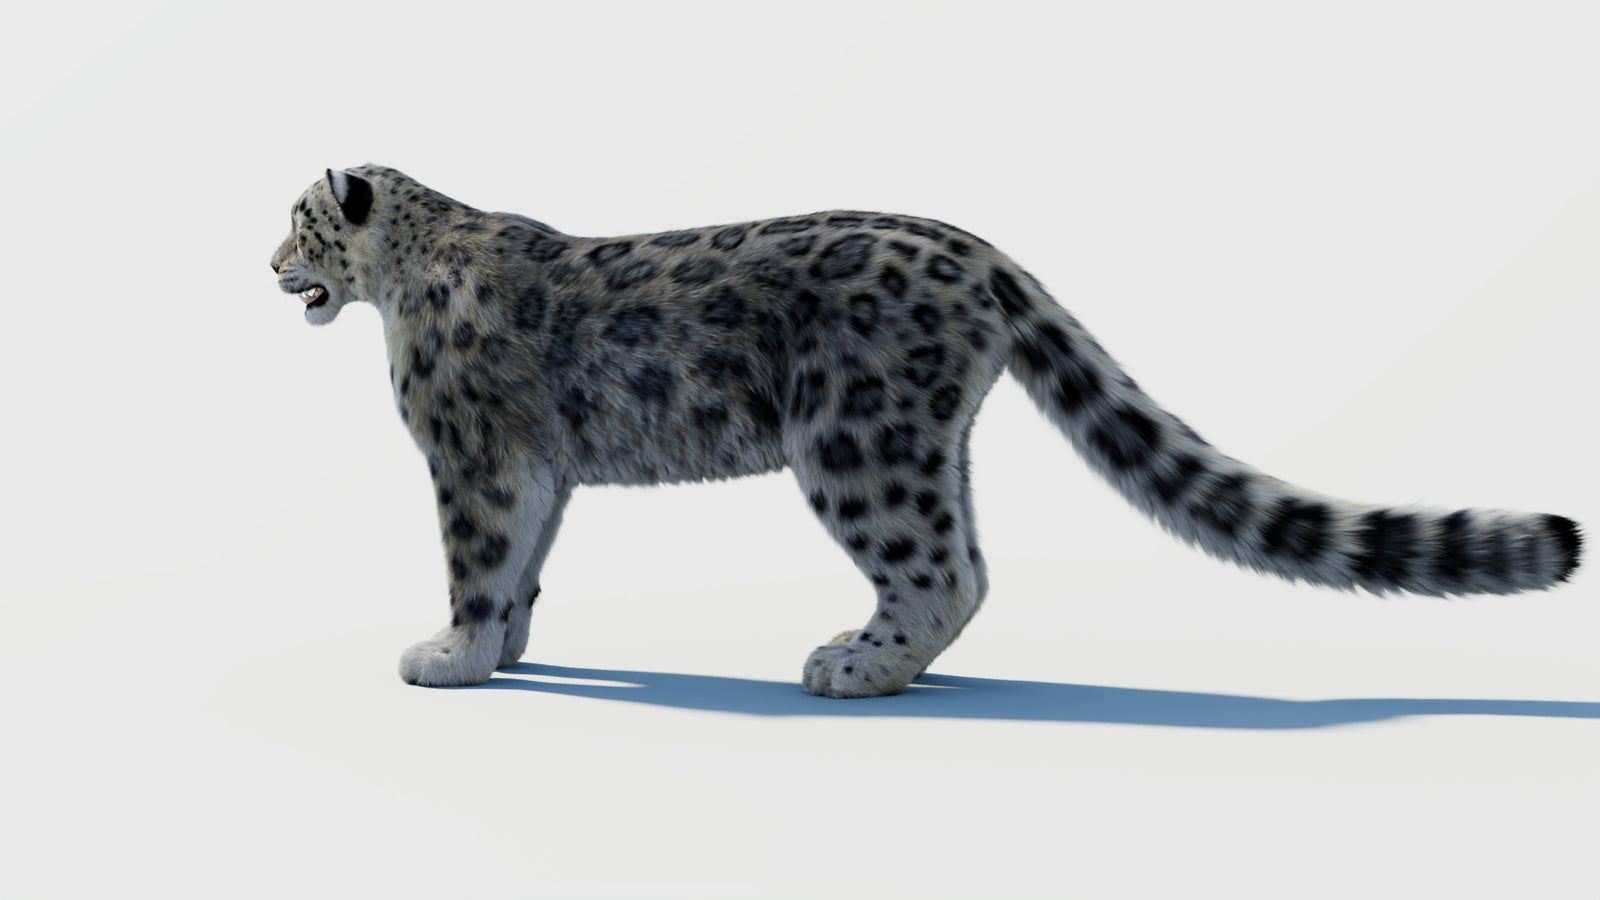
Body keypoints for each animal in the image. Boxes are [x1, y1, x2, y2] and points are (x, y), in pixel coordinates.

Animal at [270, 165, 1582, 698]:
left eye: (298, 219)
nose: (268, 264)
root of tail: (979, 250)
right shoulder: (537, 466)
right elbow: (529, 566)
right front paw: (506, 652)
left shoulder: (472, 455)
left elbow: (480, 559)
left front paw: (448, 656)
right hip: (910, 439)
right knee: (962, 556)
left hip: (856, 440)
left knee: (942, 567)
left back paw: (852, 666)